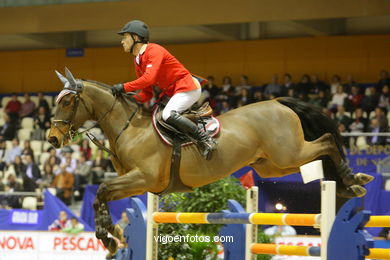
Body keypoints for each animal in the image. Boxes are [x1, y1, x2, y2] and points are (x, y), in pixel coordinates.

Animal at [48, 67, 372, 256]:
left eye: (67, 101)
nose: (51, 139)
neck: (129, 128)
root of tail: (279, 102)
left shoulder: (143, 177)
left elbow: (101, 190)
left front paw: (108, 236)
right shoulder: (139, 185)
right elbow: (101, 196)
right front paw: (113, 234)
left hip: (288, 153)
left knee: (327, 140)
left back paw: (351, 180)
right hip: (275, 164)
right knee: (320, 153)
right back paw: (351, 183)